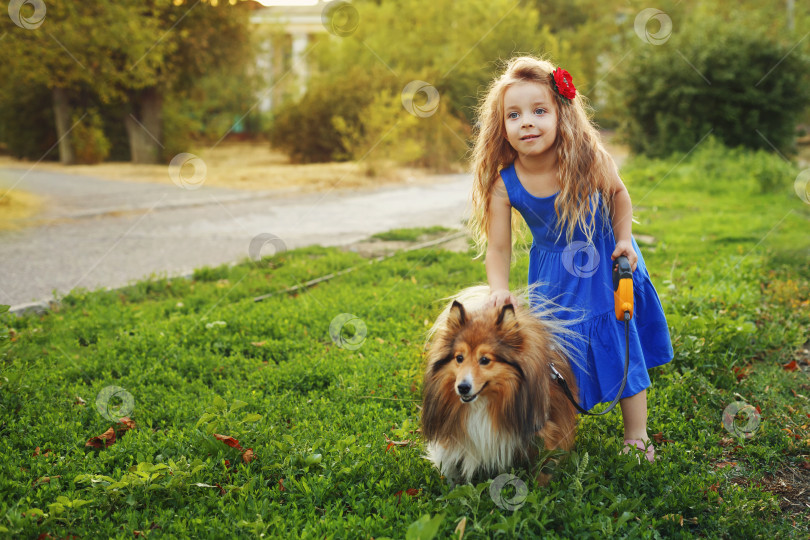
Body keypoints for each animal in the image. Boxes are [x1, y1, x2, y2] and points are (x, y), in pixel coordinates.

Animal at [420, 284, 576, 488]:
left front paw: (539, 488)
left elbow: (544, 466)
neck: (483, 404)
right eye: (459, 358)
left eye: (485, 360)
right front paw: (452, 485)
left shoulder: (544, 432)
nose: (462, 387)